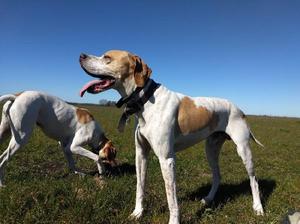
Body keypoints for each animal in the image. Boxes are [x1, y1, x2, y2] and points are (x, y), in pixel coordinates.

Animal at [79, 50, 264, 223]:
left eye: (107, 57)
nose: (81, 55)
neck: (145, 100)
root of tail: (240, 110)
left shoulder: (166, 159)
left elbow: (172, 199)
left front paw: (173, 221)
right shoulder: (141, 154)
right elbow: (140, 186)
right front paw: (137, 213)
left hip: (243, 151)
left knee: (253, 180)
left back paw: (258, 208)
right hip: (210, 150)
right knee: (217, 176)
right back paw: (208, 199)